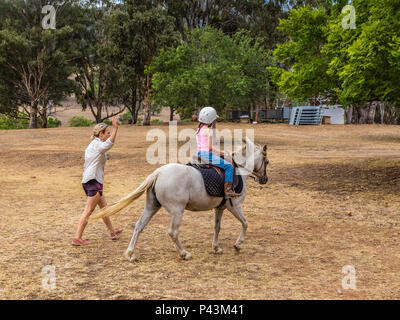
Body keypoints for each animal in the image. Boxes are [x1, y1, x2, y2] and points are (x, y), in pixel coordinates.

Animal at [90, 136, 268, 262]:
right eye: (266, 161)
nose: (265, 179)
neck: (240, 170)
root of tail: (158, 173)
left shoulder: (220, 208)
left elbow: (217, 228)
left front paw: (216, 248)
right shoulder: (234, 206)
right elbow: (245, 223)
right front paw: (238, 244)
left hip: (152, 206)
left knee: (139, 226)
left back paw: (130, 254)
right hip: (177, 211)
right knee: (173, 232)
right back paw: (184, 253)